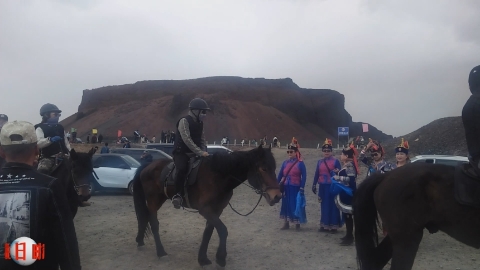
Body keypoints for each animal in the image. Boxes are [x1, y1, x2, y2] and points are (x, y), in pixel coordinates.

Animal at [132, 147, 282, 268]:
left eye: (274, 168)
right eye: (263, 168)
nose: (277, 196)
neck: (218, 175)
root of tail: (148, 165)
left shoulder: (217, 210)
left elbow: (208, 232)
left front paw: (203, 259)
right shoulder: (205, 210)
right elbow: (223, 230)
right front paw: (221, 258)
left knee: (145, 218)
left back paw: (140, 241)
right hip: (154, 200)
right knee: (154, 223)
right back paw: (161, 252)